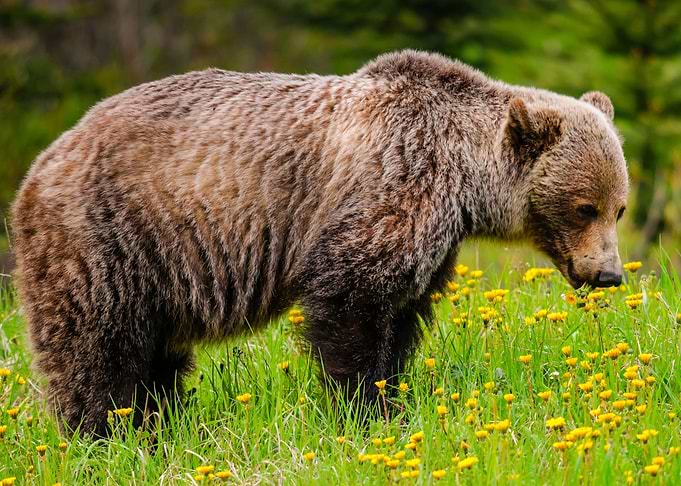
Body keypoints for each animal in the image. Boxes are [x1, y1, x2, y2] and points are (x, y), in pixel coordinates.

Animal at [11, 50, 628, 436]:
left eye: (618, 207)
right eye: (585, 207)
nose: (608, 274)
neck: (461, 180)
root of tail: (41, 164)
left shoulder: (433, 238)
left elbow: (403, 312)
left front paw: (392, 394)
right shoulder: (392, 186)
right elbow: (351, 300)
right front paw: (364, 409)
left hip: (157, 271)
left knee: (156, 357)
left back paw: (157, 425)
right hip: (108, 240)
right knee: (96, 348)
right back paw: (103, 433)